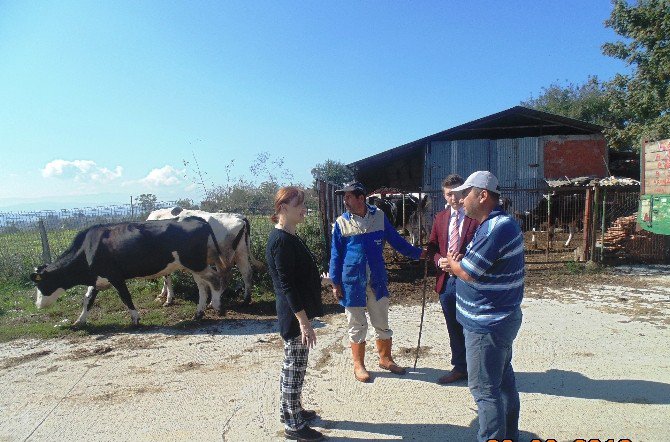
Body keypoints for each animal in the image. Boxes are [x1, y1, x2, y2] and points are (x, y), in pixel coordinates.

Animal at [30, 218, 226, 324]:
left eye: (40, 284)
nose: (37, 305)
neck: (88, 249)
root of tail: (196, 218)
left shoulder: (115, 276)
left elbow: (126, 297)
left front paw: (135, 318)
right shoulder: (97, 278)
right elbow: (87, 300)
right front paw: (80, 321)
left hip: (195, 263)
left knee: (215, 279)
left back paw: (216, 306)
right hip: (193, 265)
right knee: (203, 286)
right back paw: (199, 313)